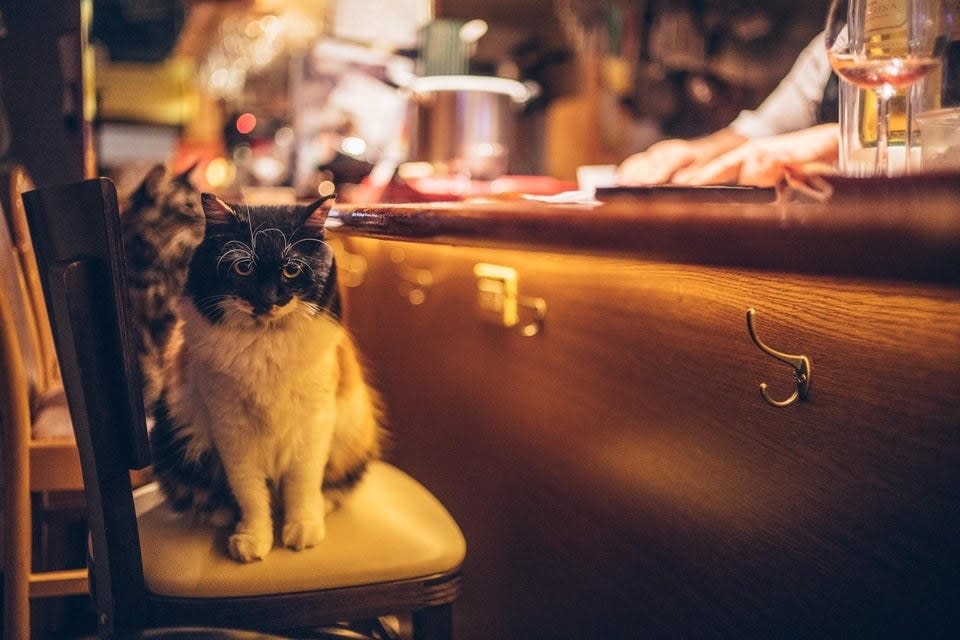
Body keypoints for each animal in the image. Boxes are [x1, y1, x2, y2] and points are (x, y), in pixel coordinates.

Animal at [122, 168, 384, 564]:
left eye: (291, 270)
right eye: (243, 267)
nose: (268, 300)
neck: (265, 344)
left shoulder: (314, 422)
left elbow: (303, 484)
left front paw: (301, 530)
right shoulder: (231, 429)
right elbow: (250, 494)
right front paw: (252, 540)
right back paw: (221, 515)